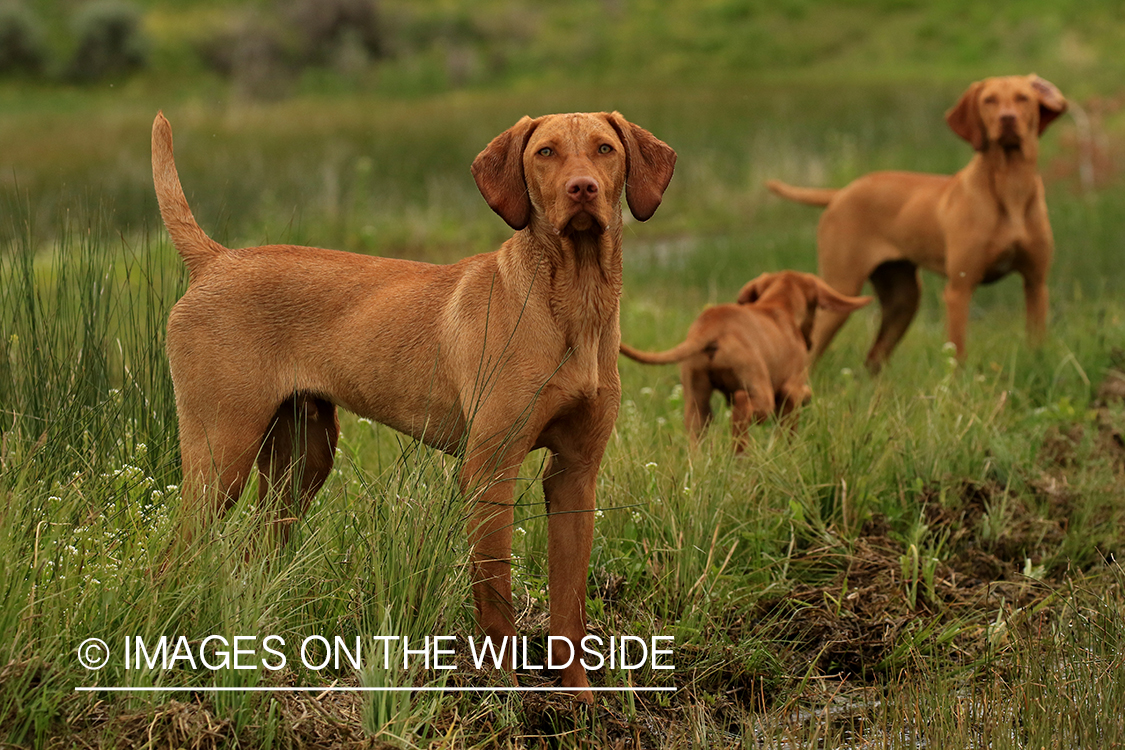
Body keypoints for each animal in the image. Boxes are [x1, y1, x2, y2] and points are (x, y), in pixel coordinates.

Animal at [151, 108, 675, 701]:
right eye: (546, 153)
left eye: (606, 149)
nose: (582, 188)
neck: (572, 303)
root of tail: (216, 262)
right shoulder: (490, 470)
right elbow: (496, 602)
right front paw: (504, 697)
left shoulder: (575, 474)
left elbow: (570, 608)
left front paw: (579, 702)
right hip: (221, 458)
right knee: (168, 564)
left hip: (301, 462)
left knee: (251, 556)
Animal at [616, 273, 868, 454]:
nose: (810, 343)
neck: (778, 305)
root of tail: (711, 325)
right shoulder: (791, 390)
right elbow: (792, 420)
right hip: (760, 395)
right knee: (741, 404)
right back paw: (740, 457)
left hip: (696, 398)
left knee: (698, 432)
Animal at [769, 74, 1066, 373]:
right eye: (989, 100)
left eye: (1023, 98)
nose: (1007, 119)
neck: (1011, 187)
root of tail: (841, 192)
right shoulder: (959, 289)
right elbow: (957, 353)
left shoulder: (1036, 283)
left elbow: (1036, 342)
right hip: (842, 287)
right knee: (812, 354)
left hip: (904, 300)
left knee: (873, 359)